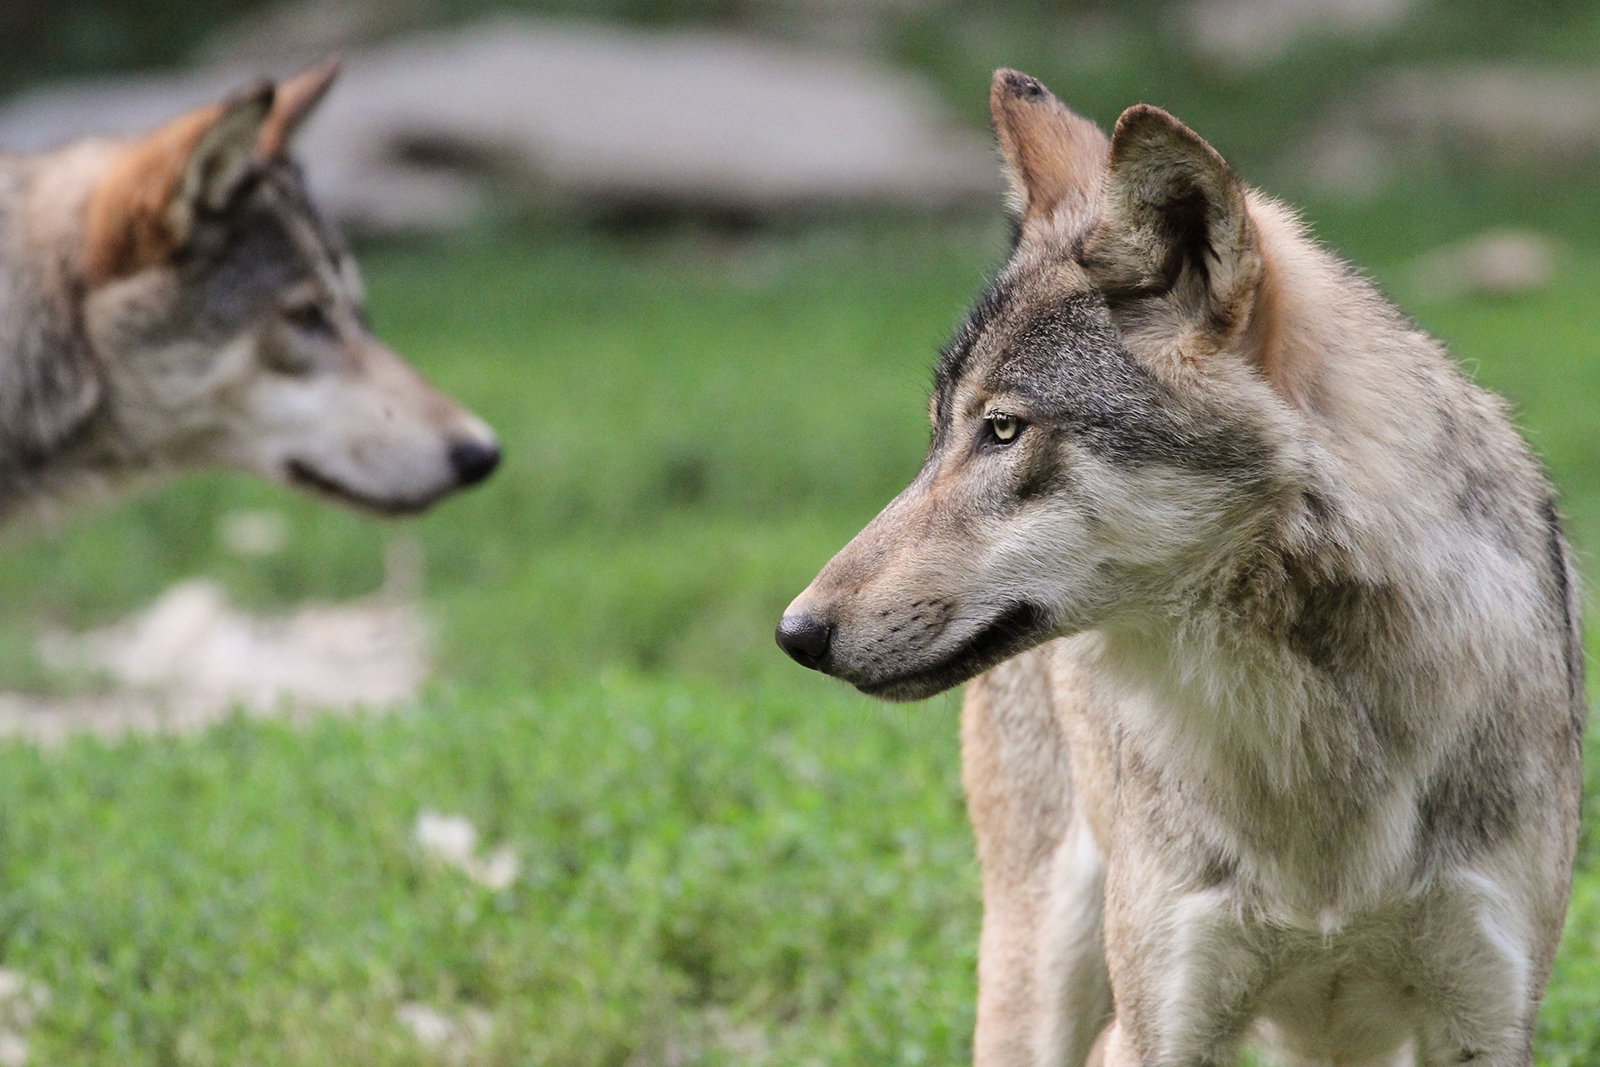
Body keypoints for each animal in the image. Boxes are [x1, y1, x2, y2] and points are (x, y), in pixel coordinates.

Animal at [777, 68, 1587, 1067]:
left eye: (1001, 429)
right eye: (938, 436)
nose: (796, 630)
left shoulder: (1485, 1016)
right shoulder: (1159, 1024)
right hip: (1041, 971)